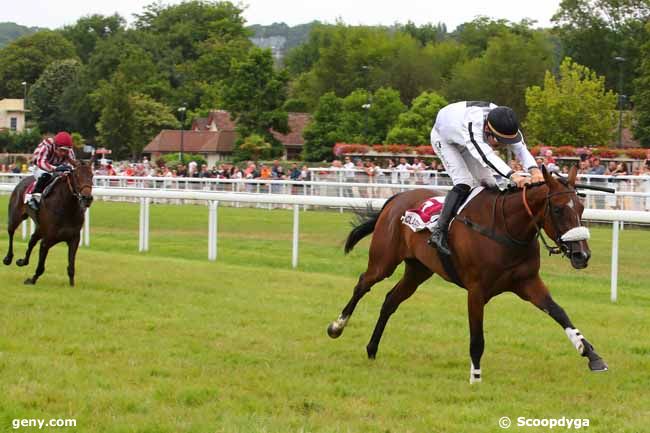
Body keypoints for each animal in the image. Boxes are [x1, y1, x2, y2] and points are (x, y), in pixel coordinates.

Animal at [330, 165, 608, 382]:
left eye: (581, 208)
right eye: (559, 209)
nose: (582, 255)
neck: (506, 228)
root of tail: (395, 198)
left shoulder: (528, 282)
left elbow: (560, 313)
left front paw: (591, 354)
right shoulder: (476, 290)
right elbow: (477, 337)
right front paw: (475, 376)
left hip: (418, 270)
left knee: (390, 300)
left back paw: (372, 348)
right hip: (383, 261)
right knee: (362, 284)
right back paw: (336, 326)